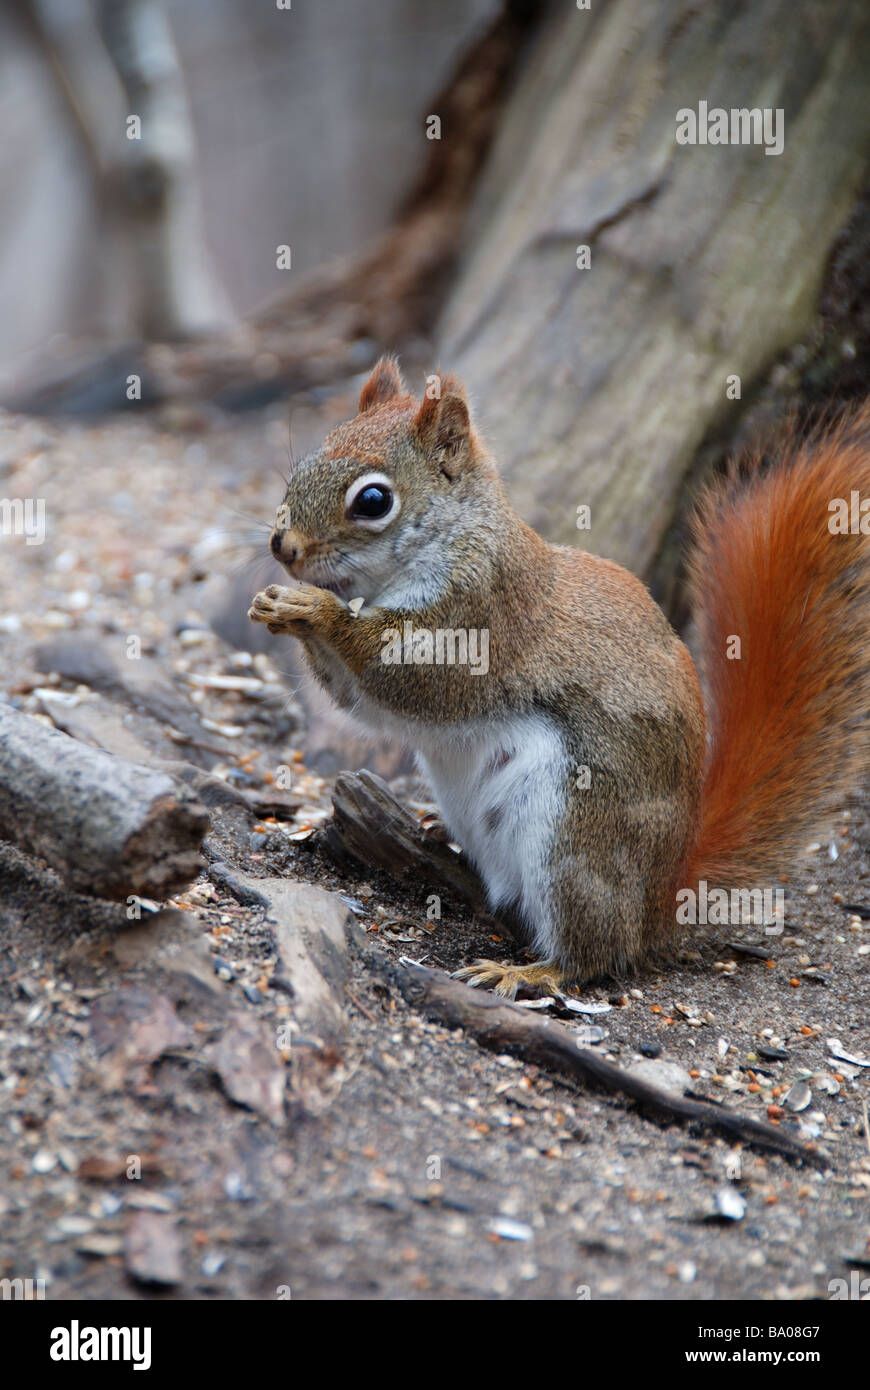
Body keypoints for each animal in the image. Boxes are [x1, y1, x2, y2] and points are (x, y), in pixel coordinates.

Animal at [249, 356, 870, 997]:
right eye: (308, 458)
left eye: (373, 500)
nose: (282, 546)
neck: (447, 542)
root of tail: (662, 899)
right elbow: (358, 698)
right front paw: (279, 608)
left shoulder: (481, 616)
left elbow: (415, 677)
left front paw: (314, 610)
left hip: (575, 835)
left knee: (595, 950)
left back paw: (527, 969)